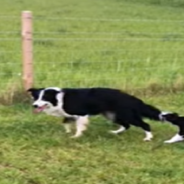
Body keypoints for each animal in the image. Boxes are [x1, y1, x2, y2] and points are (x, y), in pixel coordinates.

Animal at [27, 87, 184, 143]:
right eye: (36, 97)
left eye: (44, 98)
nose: (34, 105)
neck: (58, 98)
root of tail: (132, 98)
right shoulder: (70, 114)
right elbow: (65, 122)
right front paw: (67, 131)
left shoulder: (81, 113)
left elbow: (79, 126)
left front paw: (77, 135)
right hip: (111, 115)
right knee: (126, 126)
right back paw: (115, 132)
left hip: (126, 114)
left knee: (145, 124)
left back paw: (148, 137)